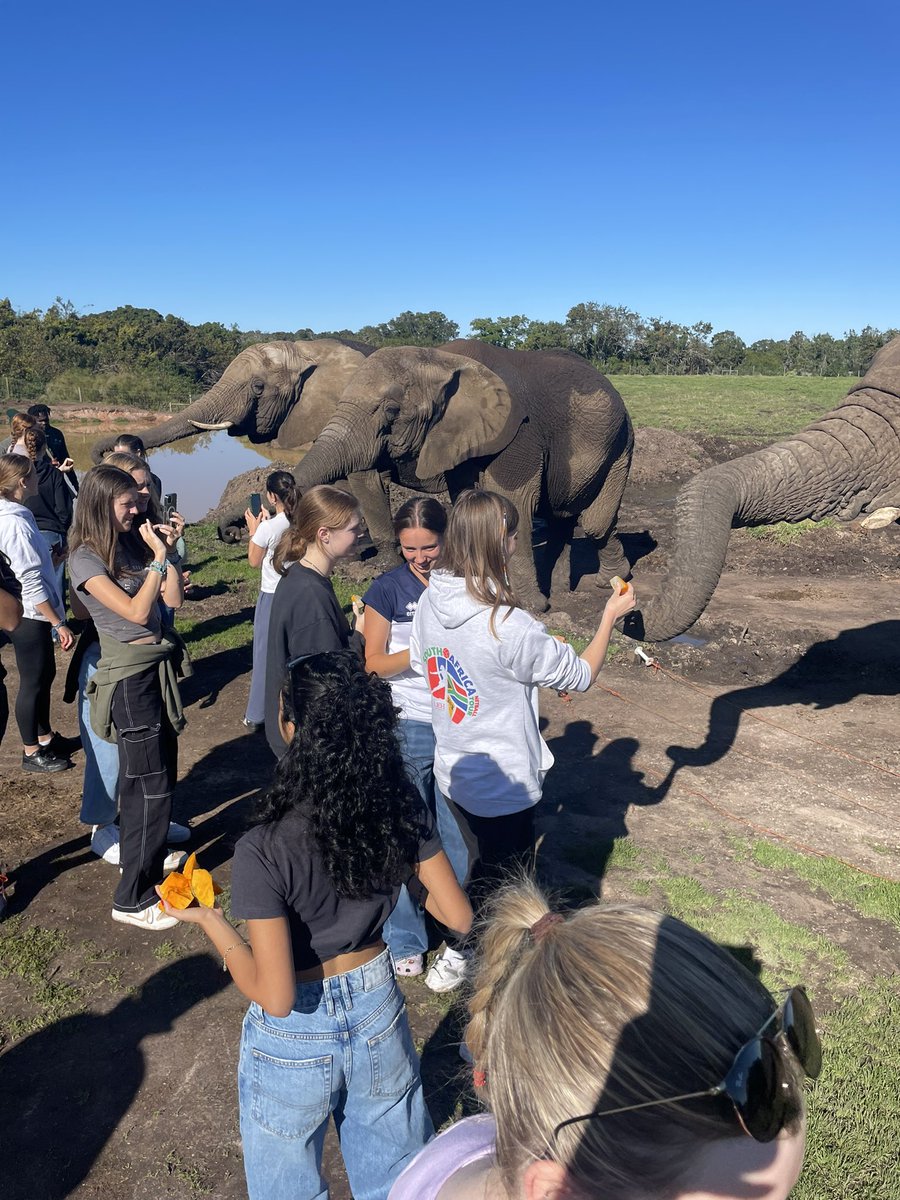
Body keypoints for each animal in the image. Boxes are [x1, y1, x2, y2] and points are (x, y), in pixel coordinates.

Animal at [289, 338, 634, 609]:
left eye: (391, 410)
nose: (285, 485)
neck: (442, 360)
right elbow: (471, 500)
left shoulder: (520, 433)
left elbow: (514, 501)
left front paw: (526, 605)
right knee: (563, 517)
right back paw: (568, 588)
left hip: (621, 444)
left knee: (594, 523)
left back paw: (612, 579)